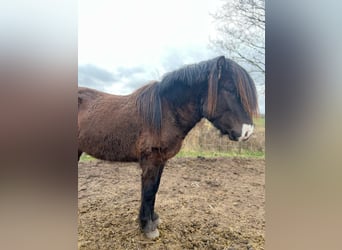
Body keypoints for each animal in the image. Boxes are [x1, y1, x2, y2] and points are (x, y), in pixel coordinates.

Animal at [77, 55, 258, 239]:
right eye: (229, 88)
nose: (247, 132)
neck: (165, 112)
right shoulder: (151, 161)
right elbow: (149, 191)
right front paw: (147, 227)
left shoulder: (161, 161)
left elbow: (155, 189)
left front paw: (153, 219)